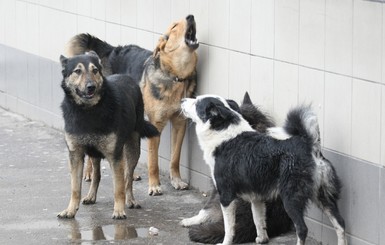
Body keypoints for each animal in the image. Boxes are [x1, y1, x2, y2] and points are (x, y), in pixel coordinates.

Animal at [57, 51, 159, 218]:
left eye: (95, 70)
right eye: (77, 71)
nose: (91, 87)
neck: (89, 110)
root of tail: (126, 77)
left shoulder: (115, 156)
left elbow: (118, 187)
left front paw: (119, 210)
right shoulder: (75, 155)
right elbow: (75, 188)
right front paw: (70, 210)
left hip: (132, 149)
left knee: (128, 178)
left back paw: (130, 200)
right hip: (94, 153)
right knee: (96, 175)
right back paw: (91, 196)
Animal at [65, 14, 198, 195]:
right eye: (174, 26)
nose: (191, 16)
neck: (175, 76)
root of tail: (111, 50)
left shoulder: (180, 123)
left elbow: (175, 158)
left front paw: (176, 180)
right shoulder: (156, 125)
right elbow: (153, 161)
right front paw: (154, 185)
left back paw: (130, 173)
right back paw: (89, 172)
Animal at [182, 95, 346, 245]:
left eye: (196, 103)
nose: (182, 100)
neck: (224, 134)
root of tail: (309, 145)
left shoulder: (226, 196)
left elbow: (229, 228)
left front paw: (225, 242)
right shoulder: (257, 197)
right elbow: (259, 220)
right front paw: (262, 239)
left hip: (291, 199)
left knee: (302, 229)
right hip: (324, 198)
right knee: (340, 224)